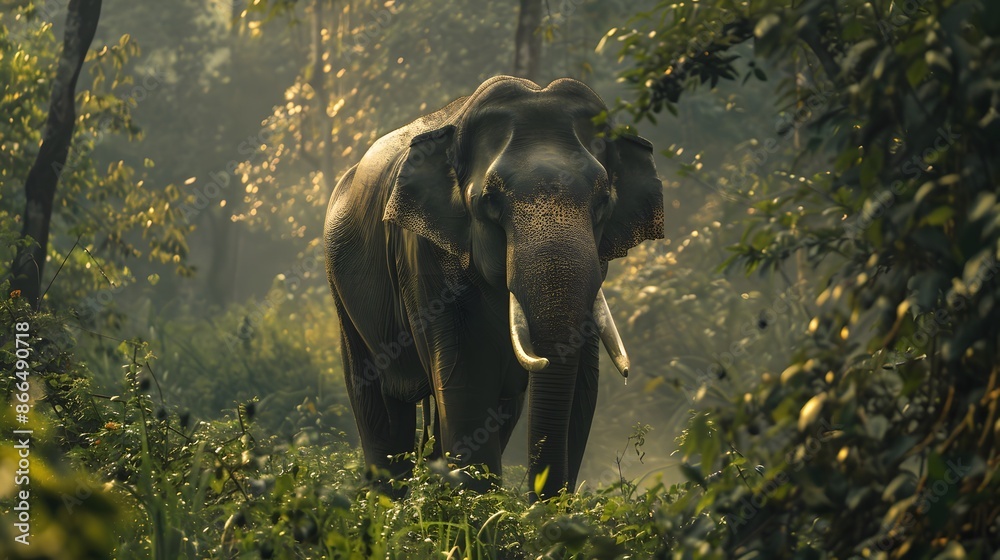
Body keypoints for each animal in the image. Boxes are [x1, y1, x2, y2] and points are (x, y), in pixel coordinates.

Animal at [324, 75, 663, 500]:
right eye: (489, 200)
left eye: (604, 201)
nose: (541, 504)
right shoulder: (424, 254)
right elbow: (465, 380)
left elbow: (584, 386)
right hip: (342, 293)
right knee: (380, 409)